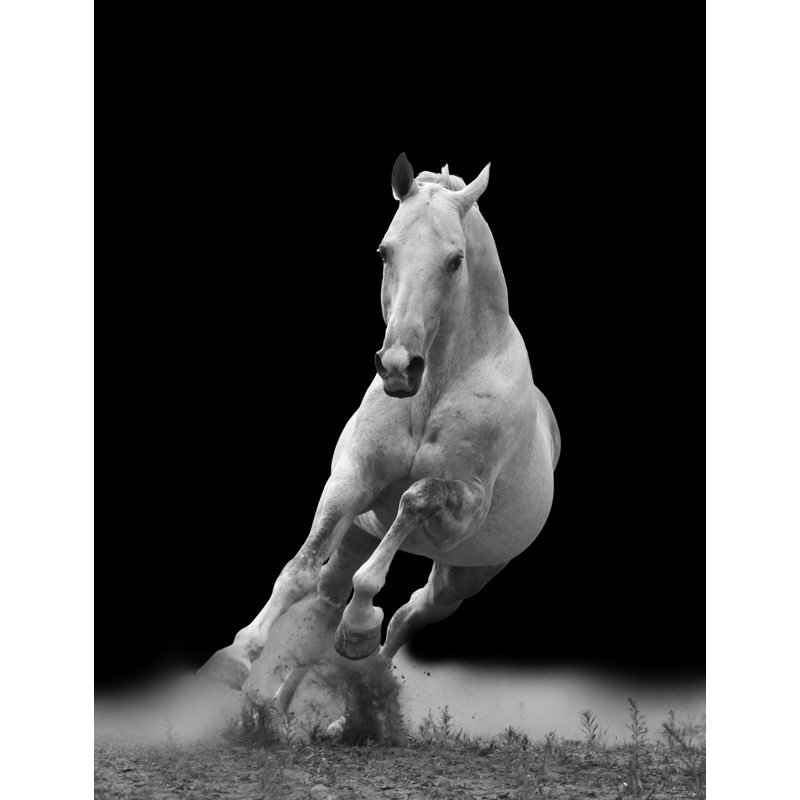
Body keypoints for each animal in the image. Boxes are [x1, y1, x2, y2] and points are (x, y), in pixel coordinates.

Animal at [198, 153, 560, 713]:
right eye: (384, 251)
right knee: (325, 601)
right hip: (359, 538)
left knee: (410, 615)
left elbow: (414, 502)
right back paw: (278, 712)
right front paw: (235, 657)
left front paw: (360, 625)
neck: (433, 388)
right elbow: (298, 571)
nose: (397, 367)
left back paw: (352, 682)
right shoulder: (352, 480)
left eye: (455, 260)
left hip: (461, 577)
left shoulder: (464, 507)